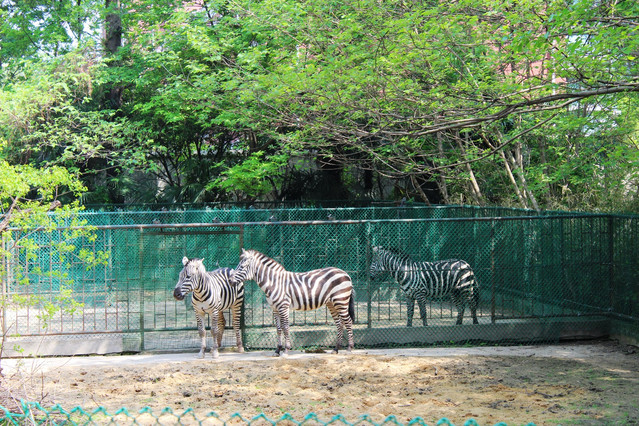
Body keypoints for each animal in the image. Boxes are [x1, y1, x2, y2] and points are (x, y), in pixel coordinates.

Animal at [230, 248, 358, 358]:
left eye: (242, 266)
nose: (230, 280)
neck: (273, 282)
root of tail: (346, 274)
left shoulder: (283, 306)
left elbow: (286, 327)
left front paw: (286, 350)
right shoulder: (274, 308)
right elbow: (278, 329)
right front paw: (277, 350)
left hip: (341, 301)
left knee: (348, 321)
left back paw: (349, 348)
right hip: (332, 304)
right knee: (339, 323)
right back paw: (336, 349)